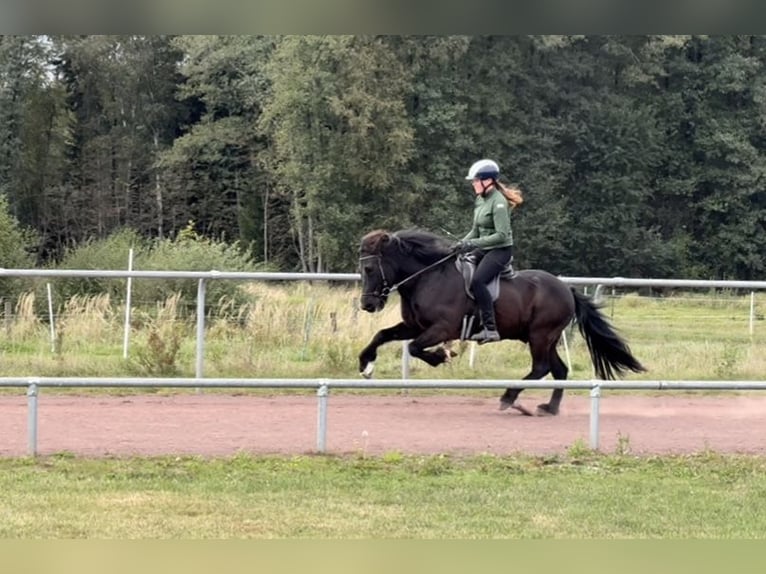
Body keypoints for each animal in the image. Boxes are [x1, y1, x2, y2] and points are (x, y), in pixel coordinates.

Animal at [357, 228, 646, 415]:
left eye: (369, 269)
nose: (367, 305)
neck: (429, 277)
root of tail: (566, 288)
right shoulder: (415, 326)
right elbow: (382, 335)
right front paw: (366, 365)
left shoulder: (441, 328)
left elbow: (415, 348)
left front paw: (440, 356)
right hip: (544, 338)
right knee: (559, 370)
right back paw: (549, 408)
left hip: (541, 335)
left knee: (541, 368)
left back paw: (509, 397)